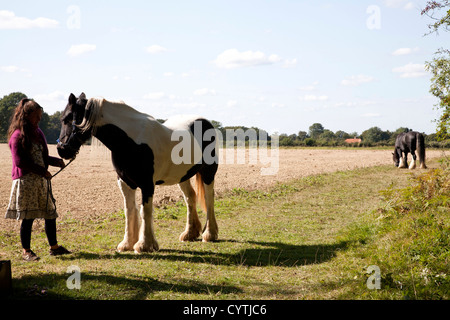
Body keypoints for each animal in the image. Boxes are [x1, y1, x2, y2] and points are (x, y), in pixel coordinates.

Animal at [57, 92, 219, 252]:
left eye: (67, 118)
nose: (61, 150)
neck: (131, 140)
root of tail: (205, 122)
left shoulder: (147, 184)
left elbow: (145, 211)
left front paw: (145, 244)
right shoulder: (125, 183)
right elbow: (129, 211)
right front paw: (127, 243)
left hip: (208, 173)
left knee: (209, 198)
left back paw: (209, 234)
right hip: (182, 176)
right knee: (190, 197)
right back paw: (190, 234)